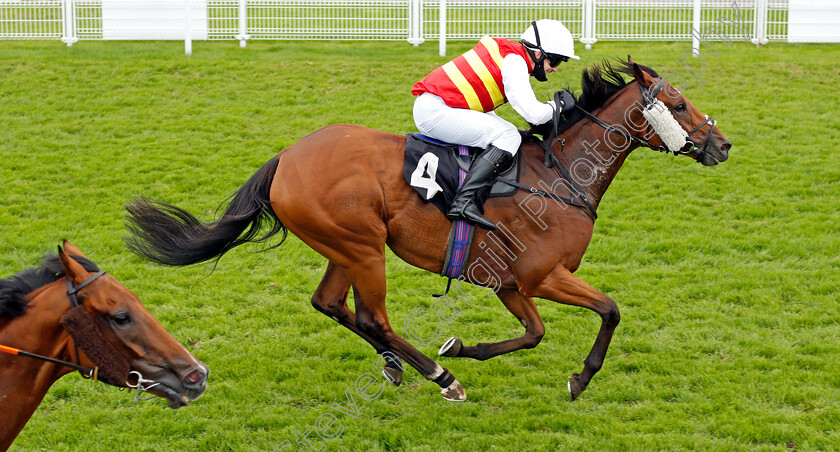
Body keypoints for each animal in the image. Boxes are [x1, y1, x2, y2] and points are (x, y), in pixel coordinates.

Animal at [124, 58, 728, 400]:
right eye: (678, 104)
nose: (722, 145)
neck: (559, 177)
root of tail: (286, 158)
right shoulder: (542, 275)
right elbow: (609, 309)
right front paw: (580, 378)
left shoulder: (511, 284)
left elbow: (533, 333)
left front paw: (462, 347)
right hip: (364, 248)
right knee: (373, 316)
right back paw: (439, 377)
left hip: (343, 247)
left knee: (330, 304)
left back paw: (398, 366)